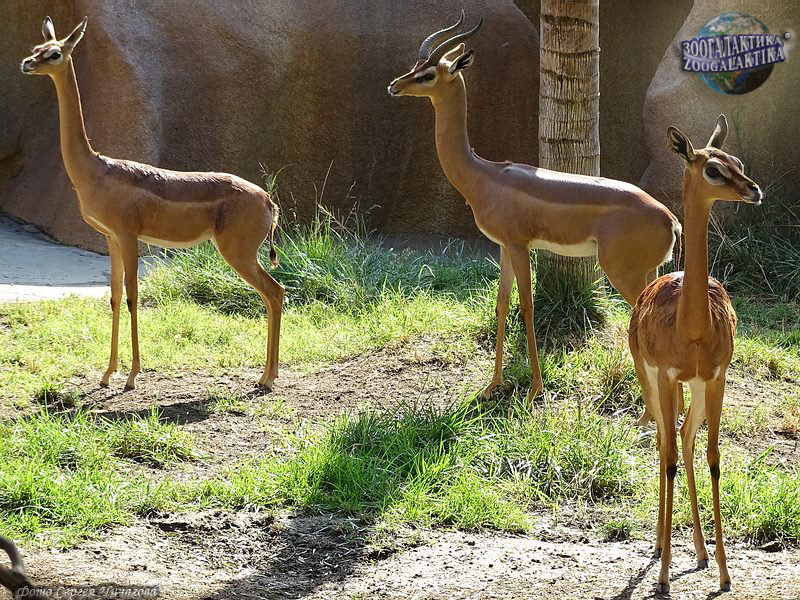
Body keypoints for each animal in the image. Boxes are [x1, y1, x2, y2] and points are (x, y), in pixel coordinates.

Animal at [21, 17, 284, 391]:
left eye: (55, 53)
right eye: (37, 48)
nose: (26, 63)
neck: (96, 169)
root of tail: (269, 202)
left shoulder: (129, 236)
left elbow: (133, 296)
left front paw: (132, 377)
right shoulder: (110, 238)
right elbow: (114, 296)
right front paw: (107, 375)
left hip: (239, 254)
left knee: (275, 292)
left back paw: (267, 378)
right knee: (273, 294)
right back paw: (267, 376)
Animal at [388, 12, 682, 403]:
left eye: (428, 74)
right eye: (415, 67)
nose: (394, 86)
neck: (484, 174)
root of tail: (670, 220)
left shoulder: (518, 245)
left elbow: (526, 307)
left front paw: (534, 390)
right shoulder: (501, 247)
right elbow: (501, 303)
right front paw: (492, 386)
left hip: (623, 273)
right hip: (649, 273)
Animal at [628, 115, 762, 593]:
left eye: (736, 160)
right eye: (713, 169)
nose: (753, 189)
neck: (692, 331)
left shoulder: (716, 377)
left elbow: (714, 459)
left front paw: (724, 573)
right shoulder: (668, 375)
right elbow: (668, 457)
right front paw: (665, 575)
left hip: (698, 391)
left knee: (684, 439)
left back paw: (701, 553)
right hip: (649, 381)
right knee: (664, 443)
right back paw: (658, 549)